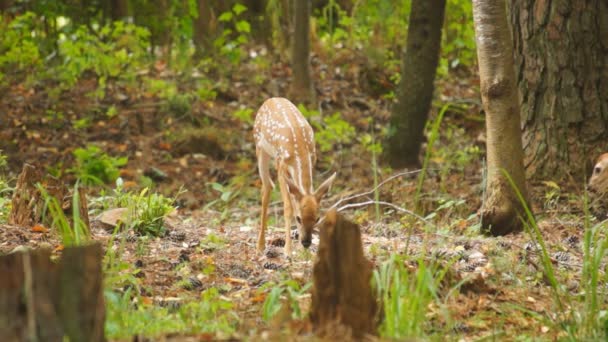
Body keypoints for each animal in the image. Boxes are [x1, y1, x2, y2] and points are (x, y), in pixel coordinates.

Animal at [252, 97, 338, 255]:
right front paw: (288, 250)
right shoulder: (281, 165)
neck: (300, 152)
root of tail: (271, 99)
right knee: (267, 187)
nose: (306, 242)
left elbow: (295, 199)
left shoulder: (313, 159)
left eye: (317, 219)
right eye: (298, 218)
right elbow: (288, 207)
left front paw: (301, 250)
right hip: (260, 147)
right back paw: (260, 246)